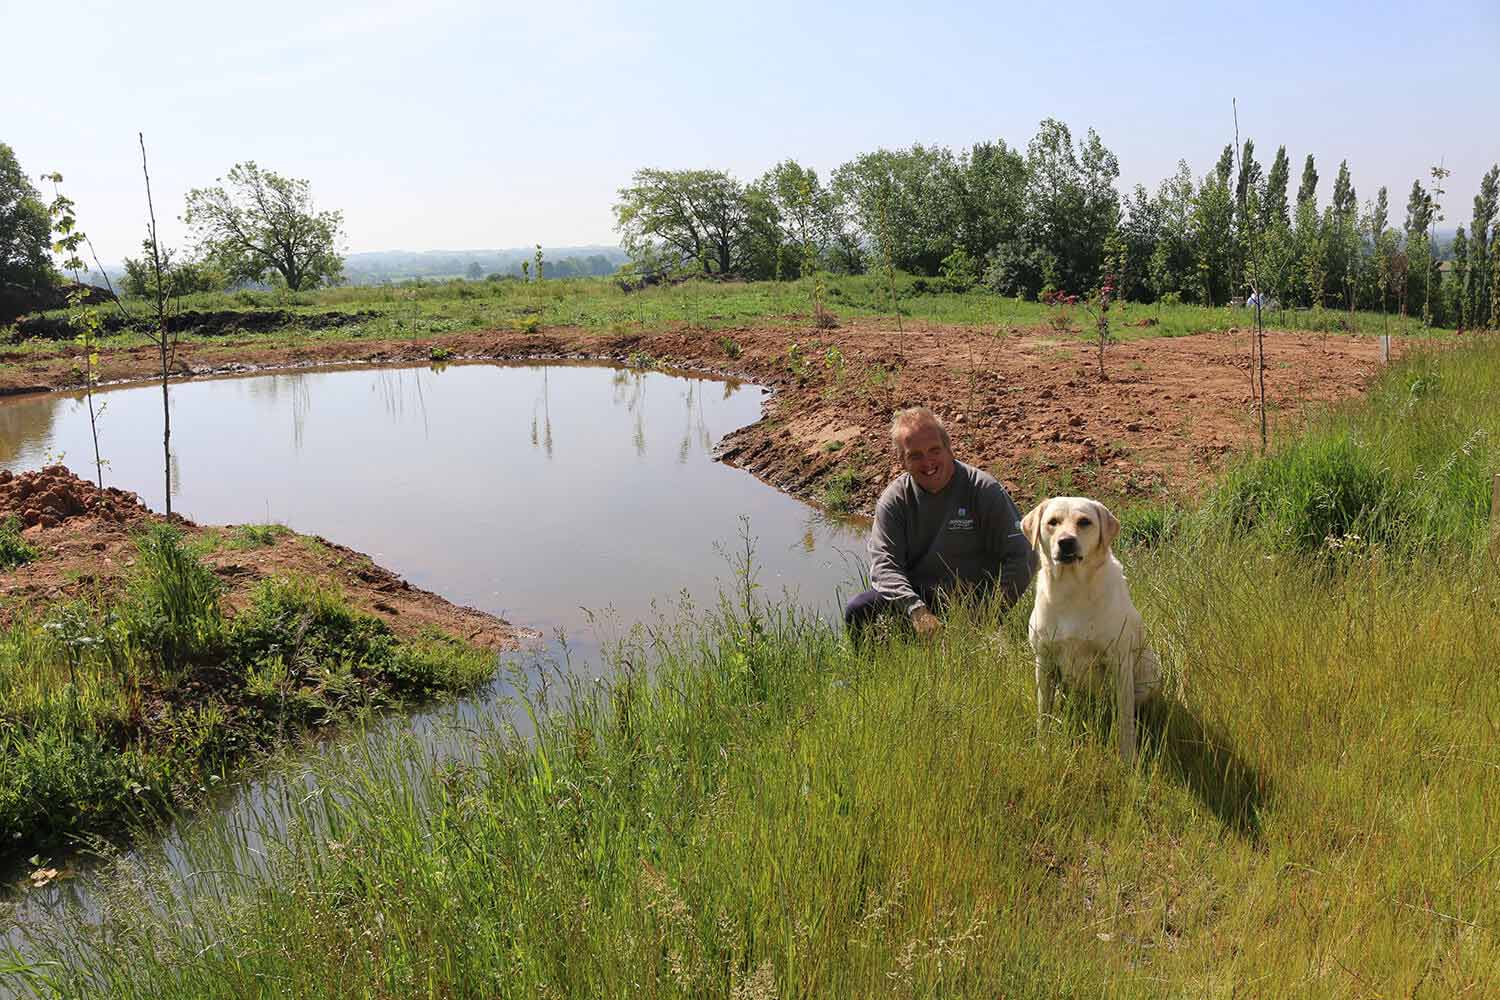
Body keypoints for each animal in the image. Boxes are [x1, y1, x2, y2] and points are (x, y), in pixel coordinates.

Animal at [1026, 494, 1164, 767]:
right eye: (1052, 522)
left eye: (1084, 522)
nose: (1066, 542)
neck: (1073, 589)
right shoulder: (1043, 659)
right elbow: (1043, 711)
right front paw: (1043, 748)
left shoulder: (1118, 661)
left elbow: (1124, 718)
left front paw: (1127, 757)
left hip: (1151, 667)